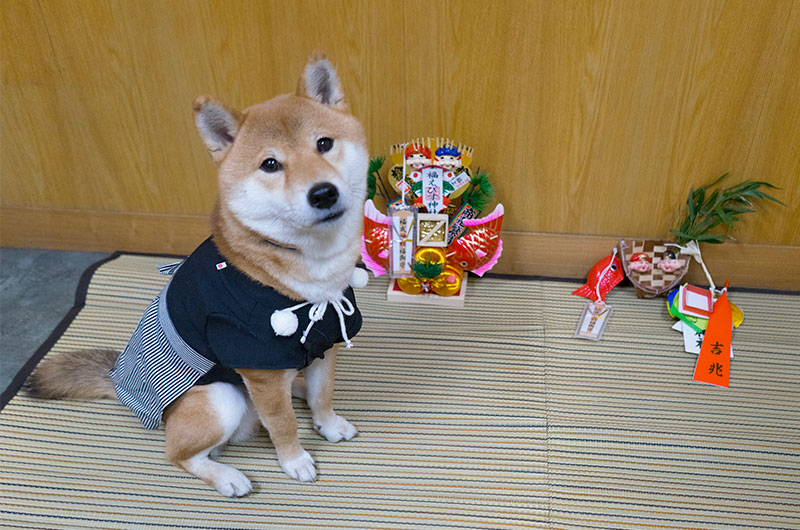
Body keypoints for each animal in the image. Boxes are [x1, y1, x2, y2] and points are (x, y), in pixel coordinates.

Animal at [30, 51, 368, 492]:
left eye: (324, 144)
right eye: (270, 164)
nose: (323, 192)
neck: (311, 273)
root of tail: (121, 385)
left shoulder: (327, 339)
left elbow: (322, 396)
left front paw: (327, 425)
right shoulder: (258, 368)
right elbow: (282, 425)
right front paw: (295, 461)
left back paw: (294, 387)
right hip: (221, 398)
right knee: (180, 453)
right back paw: (228, 477)